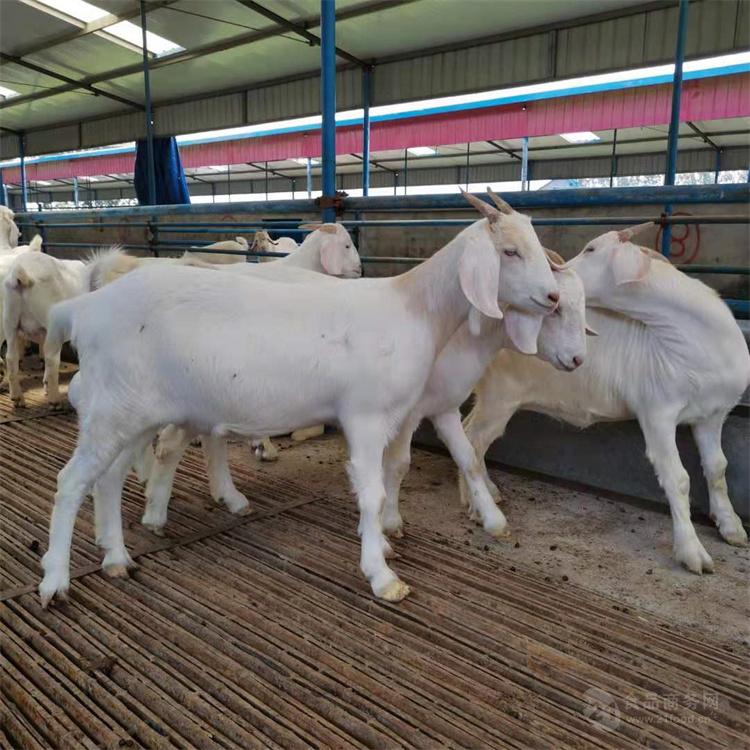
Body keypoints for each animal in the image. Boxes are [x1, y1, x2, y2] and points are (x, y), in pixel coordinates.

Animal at [38, 191, 560, 608]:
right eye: (510, 251)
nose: (553, 296)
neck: (412, 307)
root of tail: (85, 308)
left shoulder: (397, 416)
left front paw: (386, 543)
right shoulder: (366, 415)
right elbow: (372, 492)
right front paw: (382, 575)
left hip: (133, 414)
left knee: (108, 480)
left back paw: (116, 558)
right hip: (111, 412)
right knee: (71, 481)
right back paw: (56, 581)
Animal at [468, 225, 748, 576]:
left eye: (591, 248)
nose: (554, 271)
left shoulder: (713, 415)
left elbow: (717, 467)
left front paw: (731, 526)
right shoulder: (657, 412)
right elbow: (678, 478)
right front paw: (691, 551)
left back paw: (489, 493)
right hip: (499, 395)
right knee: (473, 440)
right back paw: (478, 506)